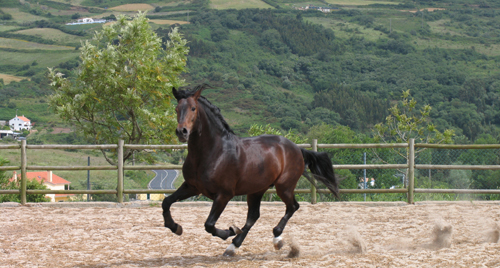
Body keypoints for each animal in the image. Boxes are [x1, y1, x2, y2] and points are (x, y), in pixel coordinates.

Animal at [161, 85, 340, 256]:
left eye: (193, 108)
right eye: (176, 109)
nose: (182, 132)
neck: (214, 151)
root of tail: (296, 148)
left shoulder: (224, 194)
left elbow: (209, 224)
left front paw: (230, 230)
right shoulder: (192, 186)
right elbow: (166, 202)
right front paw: (175, 227)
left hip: (284, 187)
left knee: (292, 207)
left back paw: (276, 238)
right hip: (257, 190)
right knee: (254, 216)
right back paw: (233, 247)